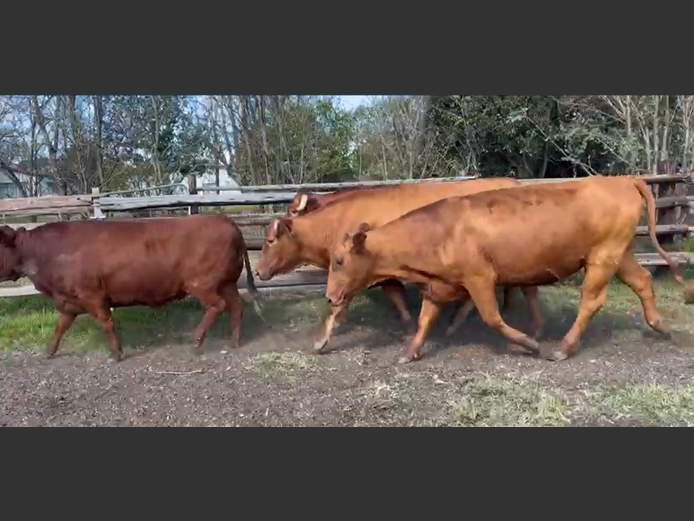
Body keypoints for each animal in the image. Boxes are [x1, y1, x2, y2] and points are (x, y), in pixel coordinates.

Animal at [0, 214, 263, 362]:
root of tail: (223, 219)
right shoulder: (69, 302)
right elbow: (60, 327)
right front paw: (49, 351)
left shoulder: (92, 295)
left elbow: (106, 322)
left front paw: (117, 353)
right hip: (227, 283)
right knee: (236, 306)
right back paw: (235, 341)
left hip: (202, 283)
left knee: (217, 305)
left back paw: (197, 337)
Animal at [257, 177, 545, 354]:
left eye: (270, 240)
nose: (258, 271)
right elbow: (395, 297)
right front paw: (408, 327)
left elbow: (337, 309)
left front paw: (320, 342)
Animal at [325, 175, 684, 364]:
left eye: (339, 261)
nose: (329, 297)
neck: (440, 230)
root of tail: (621, 178)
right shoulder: (439, 285)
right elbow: (425, 320)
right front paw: (409, 352)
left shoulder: (480, 278)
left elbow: (492, 317)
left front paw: (529, 343)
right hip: (621, 254)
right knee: (643, 281)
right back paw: (662, 328)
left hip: (602, 258)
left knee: (591, 301)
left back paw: (563, 347)